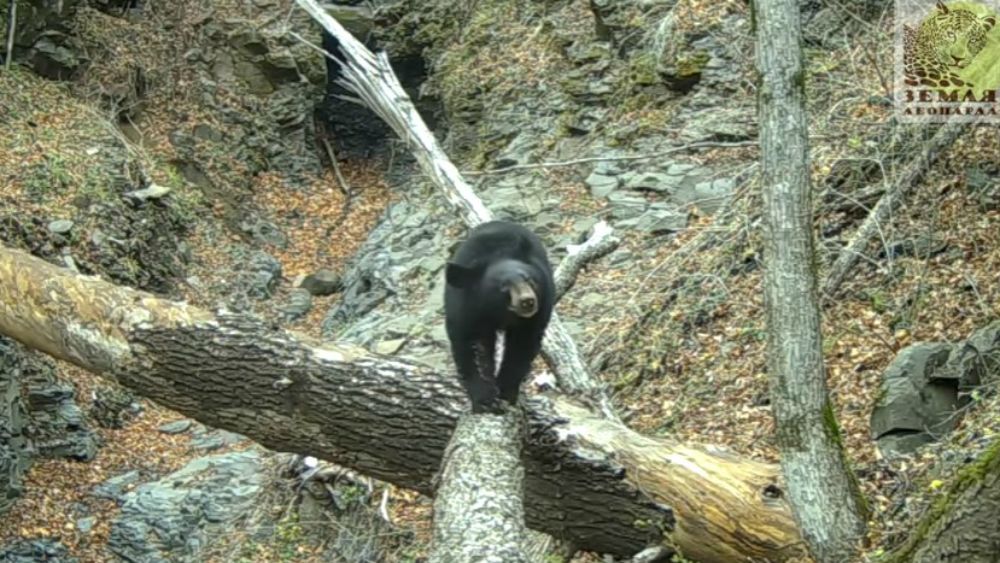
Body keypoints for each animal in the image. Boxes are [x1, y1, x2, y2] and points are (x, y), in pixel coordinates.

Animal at [444, 220, 555, 413]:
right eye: (503, 287)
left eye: (530, 280)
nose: (527, 301)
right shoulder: (466, 309)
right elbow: (472, 345)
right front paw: (484, 398)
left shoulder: (538, 312)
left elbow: (522, 347)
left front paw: (506, 391)